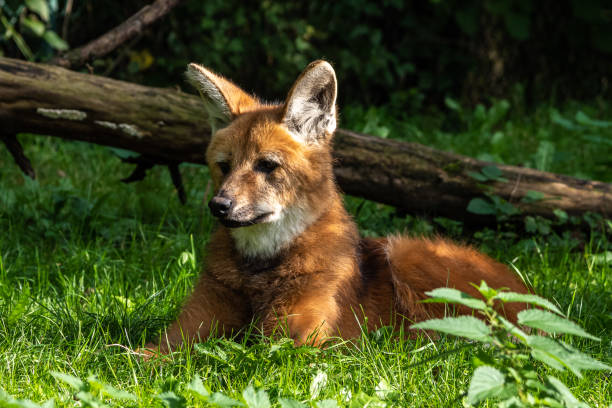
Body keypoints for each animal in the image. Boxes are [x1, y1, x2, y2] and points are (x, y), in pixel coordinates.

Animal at [146, 60, 528, 354]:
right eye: (224, 166)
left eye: (267, 165)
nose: (219, 205)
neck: (259, 270)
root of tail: (526, 287)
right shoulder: (192, 324)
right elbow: (148, 355)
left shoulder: (295, 341)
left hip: (403, 251)